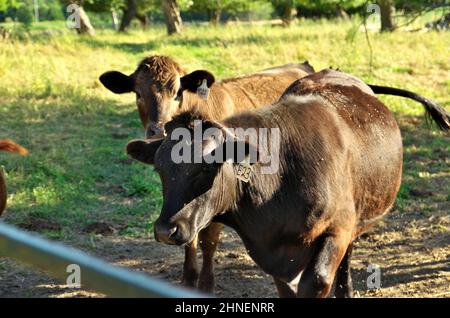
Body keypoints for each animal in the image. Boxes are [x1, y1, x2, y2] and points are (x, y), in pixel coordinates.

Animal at [126, 68, 450, 296]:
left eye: (207, 168)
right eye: (160, 169)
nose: (166, 230)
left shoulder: (337, 230)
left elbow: (316, 281)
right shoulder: (272, 255)